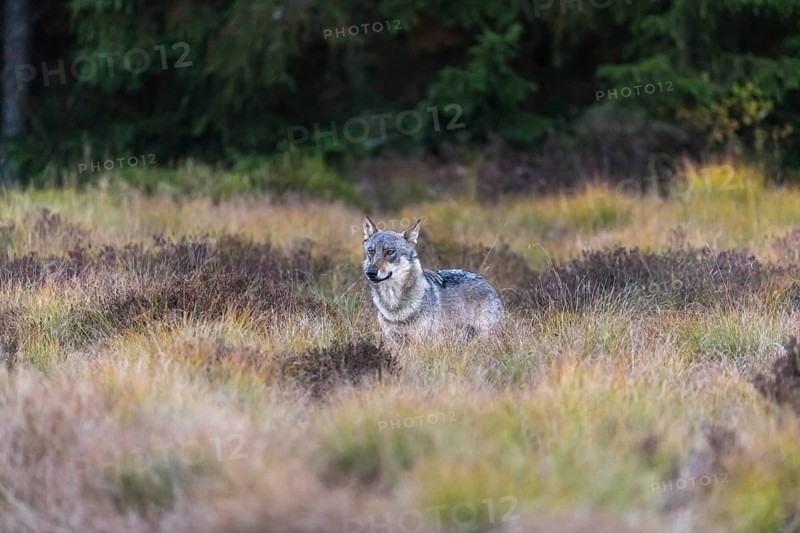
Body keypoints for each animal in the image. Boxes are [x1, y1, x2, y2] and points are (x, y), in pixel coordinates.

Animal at [362, 216, 504, 345]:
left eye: (390, 252)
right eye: (371, 251)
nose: (370, 272)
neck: (394, 305)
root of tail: (485, 281)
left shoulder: (421, 340)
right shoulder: (392, 340)